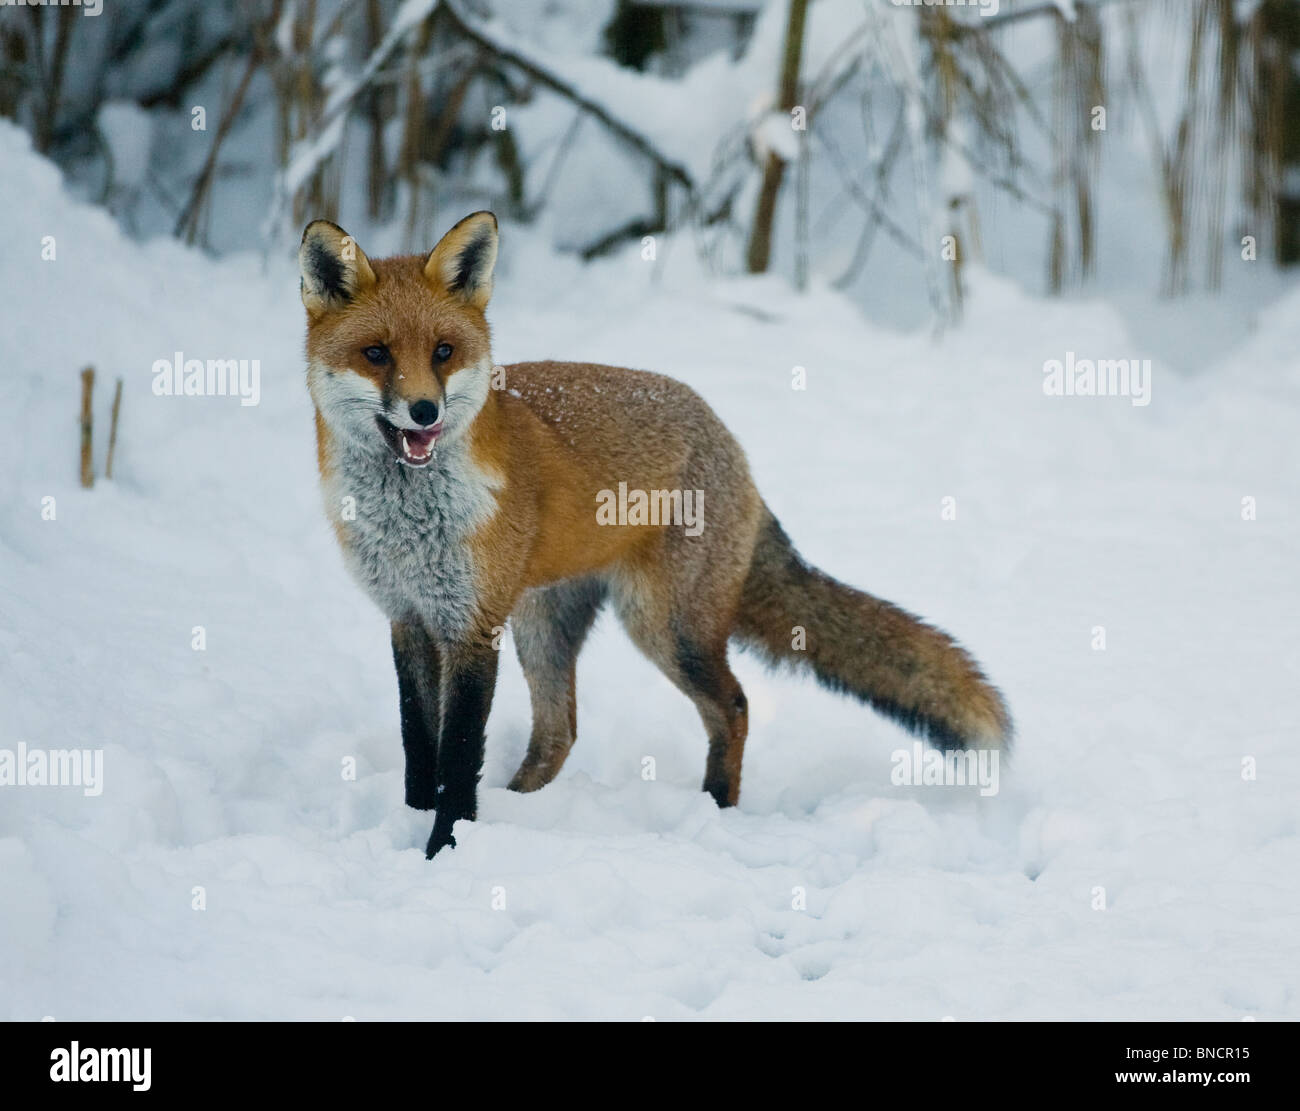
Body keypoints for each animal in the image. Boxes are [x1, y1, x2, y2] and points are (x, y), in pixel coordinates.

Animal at [299, 207, 1008, 857]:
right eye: (376, 354)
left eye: (444, 352)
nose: (425, 411)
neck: (410, 528)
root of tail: (729, 440)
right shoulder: (408, 618)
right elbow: (419, 745)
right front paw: (415, 824)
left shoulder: (472, 627)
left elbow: (457, 755)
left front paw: (445, 848)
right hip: (545, 627)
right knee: (559, 733)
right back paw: (524, 807)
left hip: (664, 627)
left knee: (734, 707)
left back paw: (714, 812)